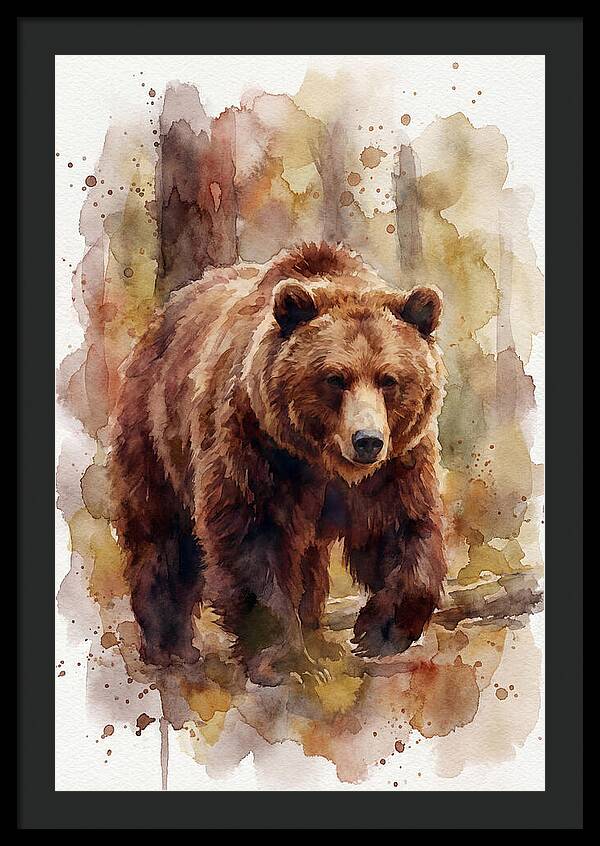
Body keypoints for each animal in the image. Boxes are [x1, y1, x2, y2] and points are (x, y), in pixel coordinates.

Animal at [110, 242, 447, 686]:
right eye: (334, 378)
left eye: (388, 379)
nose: (367, 441)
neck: (322, 461)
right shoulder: (255, 445)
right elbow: (253, 538)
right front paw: (283, 659)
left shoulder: (395, 464)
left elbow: (403, 526)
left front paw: (380, 630)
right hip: (156, 429)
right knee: (162, 534)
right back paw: (170, 646)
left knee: (309, 559)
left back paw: (316, 633)